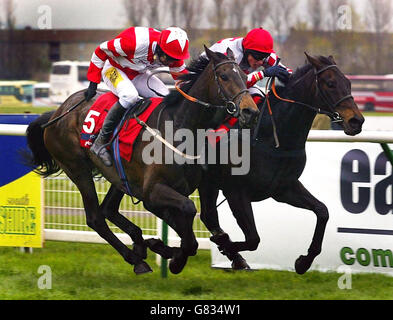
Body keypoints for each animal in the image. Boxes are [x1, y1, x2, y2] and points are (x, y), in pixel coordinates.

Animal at [23, 47, 258, 276]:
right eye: (224, 76)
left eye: (245, 76)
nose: (250, 111)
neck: (180, 128)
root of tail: (58, 112)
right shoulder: (152, 191)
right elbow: (189, 211)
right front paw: (174, 257)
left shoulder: (182, 189)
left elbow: (194, 219)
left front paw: (164, 248)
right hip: (77, 169)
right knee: (96, 218)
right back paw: (136, 258)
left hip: (119, 176)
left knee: (108, 209)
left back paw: (140, 246)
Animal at [199, 53, 364, 274]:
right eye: (330, 83)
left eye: (348, 82)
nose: (357, 121)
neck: (271, 137)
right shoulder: (236, 191)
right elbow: (253, 239)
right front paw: (226, 247)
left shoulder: (283, 188)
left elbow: (323, 211)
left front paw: (304, 261)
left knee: (208, 215)